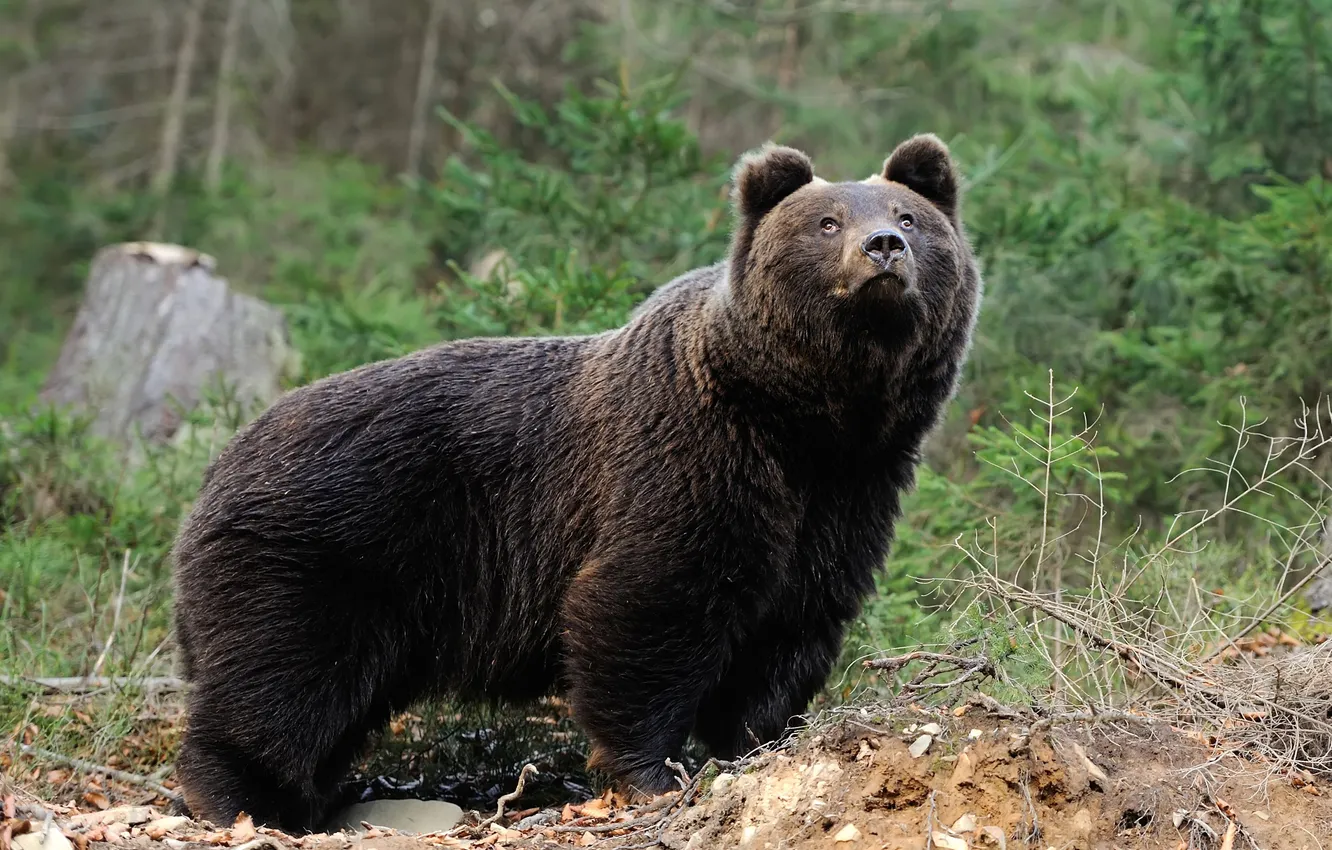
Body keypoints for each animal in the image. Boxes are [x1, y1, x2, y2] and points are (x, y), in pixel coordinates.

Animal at [169, 133, 980, 831]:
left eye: (909, 216)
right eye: (826, 220)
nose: (884, 248)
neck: (803, 419)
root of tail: (217, 465)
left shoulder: (846, 496)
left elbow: (793, 622)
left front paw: (759, 739)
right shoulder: (687, 461)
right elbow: (648, 603)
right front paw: (653, 770)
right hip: (320, 548)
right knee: (281, 679)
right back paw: (247, 799)